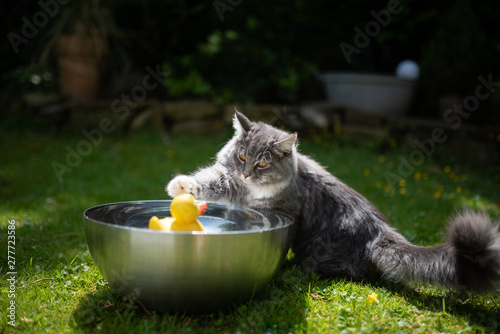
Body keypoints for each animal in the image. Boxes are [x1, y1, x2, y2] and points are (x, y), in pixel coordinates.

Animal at [167, 111, 500, 290]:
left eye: (262, 163)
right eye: (242, 157)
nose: (247, 174)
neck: (251, 191)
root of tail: (384, 233)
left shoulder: (288, 211)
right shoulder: (230, 181)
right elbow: (208, 181)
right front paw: (181, 186)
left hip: (324, 250)